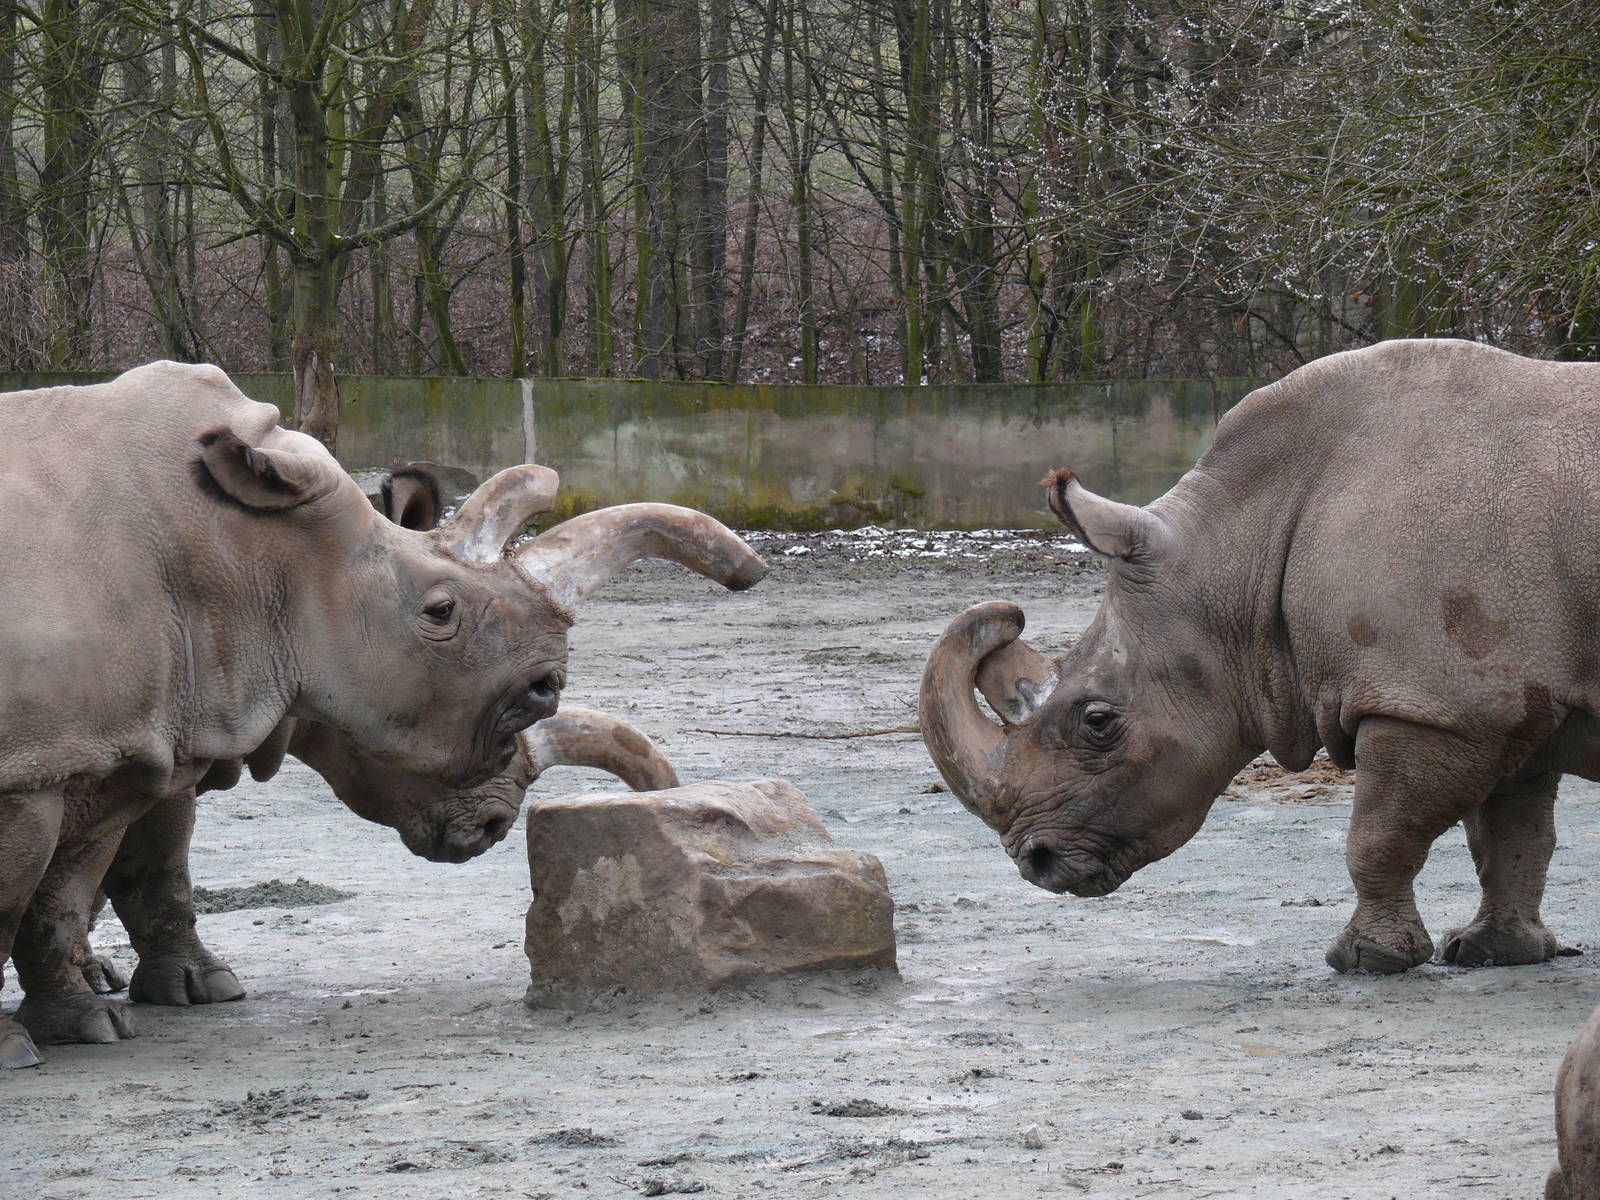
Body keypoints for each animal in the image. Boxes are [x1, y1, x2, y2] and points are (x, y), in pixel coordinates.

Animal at [0, 363, 764, 1066]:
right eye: (441, 611)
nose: (493, 826)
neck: (250, 553)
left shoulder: (127, 735)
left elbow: (93, 881)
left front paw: (107, 1019)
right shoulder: (61, 757)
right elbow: (29, 886)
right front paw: (21, 1047)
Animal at [922, 338, 1600, 974]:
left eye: (1097, 722)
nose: (1036, 863)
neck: (1240, 543)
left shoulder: (1432, 701)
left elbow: (1381, 836)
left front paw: (1363, 960)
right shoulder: (1498, 700)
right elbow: (1512, 838)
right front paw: (1495, 952)